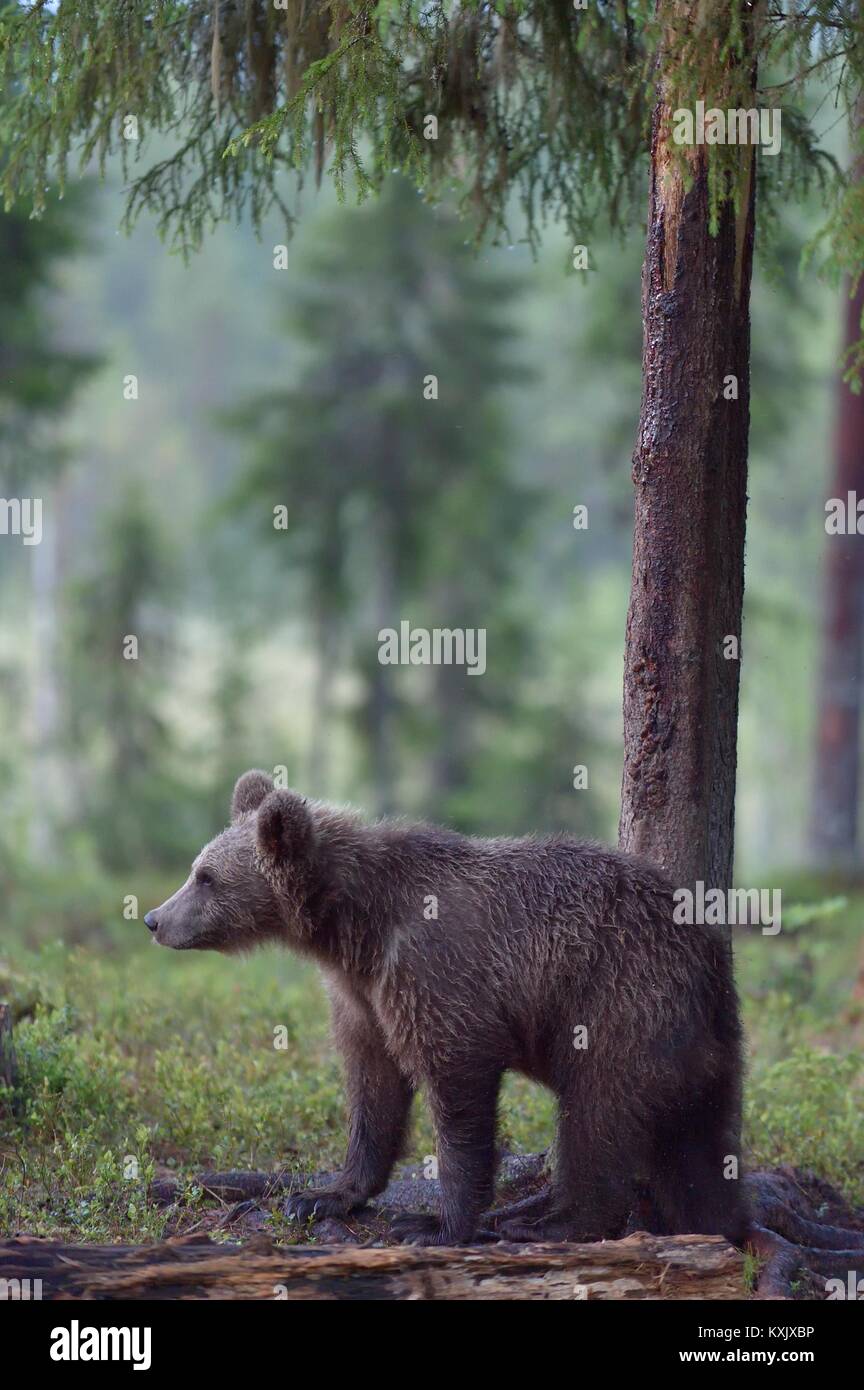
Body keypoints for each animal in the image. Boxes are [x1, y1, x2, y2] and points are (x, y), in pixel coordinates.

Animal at [143, 769, 746, 1247]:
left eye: (206, 877)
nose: (154, 918)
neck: (355, 929)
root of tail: (706, 949)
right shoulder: (364, 997)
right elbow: (373, 1087)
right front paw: (323, 1194)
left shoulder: (436, 974)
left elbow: (456, 1089)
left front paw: (434, 1224)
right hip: (702, 1038)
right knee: (699, 1146)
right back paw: (717, 1222)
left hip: (617, 1002)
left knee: (598, 1114)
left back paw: (551, 1221)